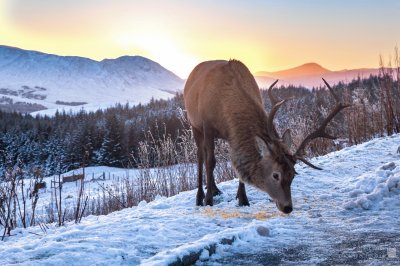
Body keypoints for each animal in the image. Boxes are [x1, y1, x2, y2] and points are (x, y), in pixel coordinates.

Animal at [183, 59, 348, 213]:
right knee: (201, 156)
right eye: (276, 175)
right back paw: (201, 196)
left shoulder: (233, 135)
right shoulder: (207, 125)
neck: (226, 110)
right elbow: (211, 161)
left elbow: (237, 164)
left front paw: (243, 199)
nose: (287, 207)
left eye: (293, 175)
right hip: (194, 125)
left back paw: (216, 189)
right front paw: (208, 200)